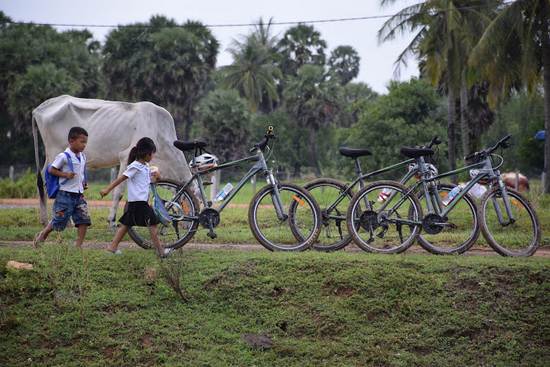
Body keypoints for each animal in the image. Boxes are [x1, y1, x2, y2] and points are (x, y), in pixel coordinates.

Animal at [32, 95, 193, 226]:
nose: (188, 223)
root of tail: (39, 108)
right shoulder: (126, 157)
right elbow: (119, 191)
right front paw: (112, 220)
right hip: (55, 152)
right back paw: (62, 221)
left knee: (44, 182)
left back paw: (49, 219)